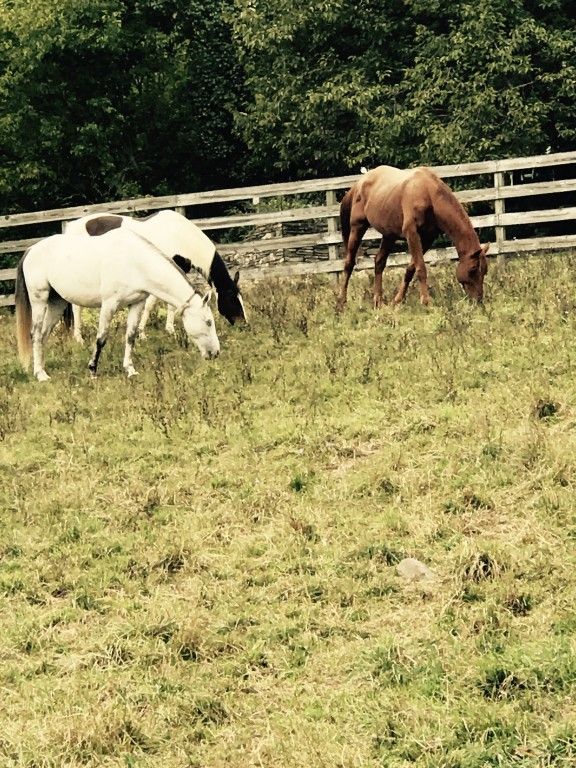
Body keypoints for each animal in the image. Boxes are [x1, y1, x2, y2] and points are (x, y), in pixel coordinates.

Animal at [15, 228, 219, 384]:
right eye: (208, 322)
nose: (215, 353)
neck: (135, 262)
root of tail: (31, 249)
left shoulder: (137, 304)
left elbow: (130, 336)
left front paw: (130, 369)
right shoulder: (109, 305)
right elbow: (101, 338)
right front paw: (92, 370)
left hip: (57, 303)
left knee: (43, 335)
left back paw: (41, 369)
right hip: (39, 300)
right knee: (35, 334)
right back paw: (40, 375)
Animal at [66, 208, 248, 344]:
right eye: (232, 299)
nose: (244, 324)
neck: (181, 236)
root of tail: (71, 228)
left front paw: (169, 330)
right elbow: (151, 304)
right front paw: (143, 334)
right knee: (76, 306)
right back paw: (79, 338)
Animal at [338, 166, 490, 308]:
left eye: (485, 271)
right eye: (473, 270)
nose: (478, 300)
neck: (429, 195)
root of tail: (359, 183)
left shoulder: (427, 238)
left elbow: (411, 269)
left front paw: (397, 300)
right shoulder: (411, 233)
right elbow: (421, 268)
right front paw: (426, 302)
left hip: (388, 235)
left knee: (379, 262)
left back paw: (378, 302)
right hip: (358, 227)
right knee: (349, 263)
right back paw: (341, 302)